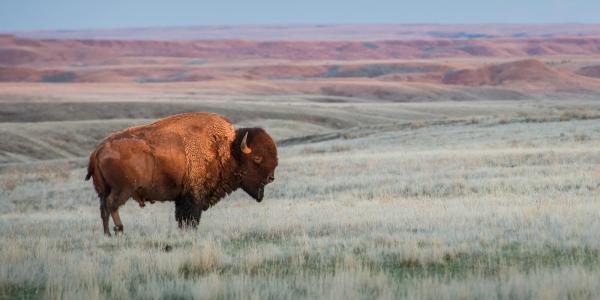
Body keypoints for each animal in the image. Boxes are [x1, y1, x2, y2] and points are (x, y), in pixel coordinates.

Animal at [84, 111, 278, 236]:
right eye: (257, 157)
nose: (271, 177)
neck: (226, 150)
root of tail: (98, 149)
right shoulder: (193, 196)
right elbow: (191, 217)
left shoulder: (182, 197)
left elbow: (182, 217)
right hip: (122, 190)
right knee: (112, 205)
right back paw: (120, 229)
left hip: (103, 190)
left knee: (103, 208)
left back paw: (108, 234)